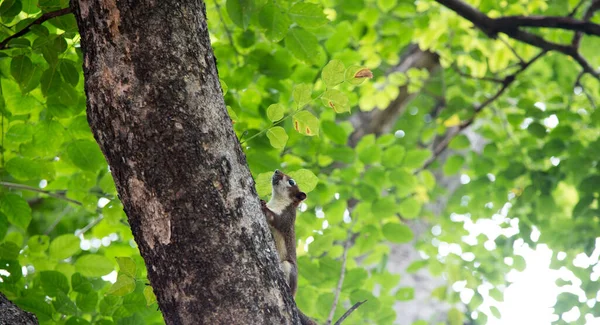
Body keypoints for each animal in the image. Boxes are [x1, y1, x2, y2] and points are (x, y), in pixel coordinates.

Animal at [262, 170, 318, 324]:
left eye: (291, 182)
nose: (276, 171)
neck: (277, 201)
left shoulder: (286, 218)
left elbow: (275, 220)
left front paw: (263, 206)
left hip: (288, 267)